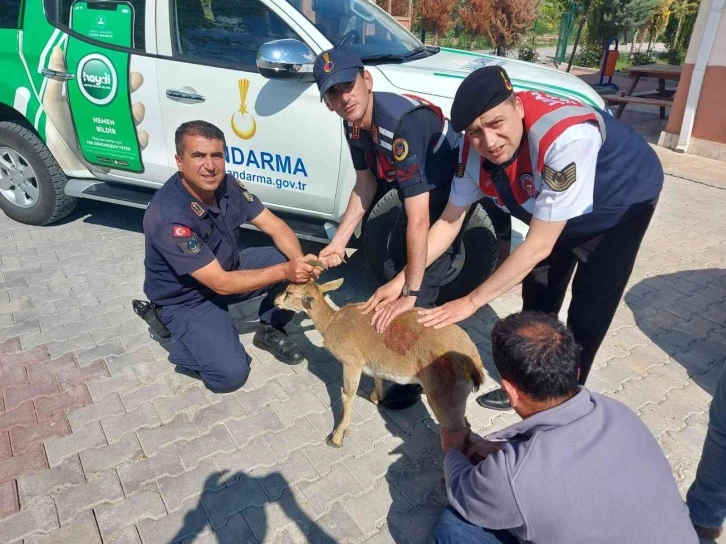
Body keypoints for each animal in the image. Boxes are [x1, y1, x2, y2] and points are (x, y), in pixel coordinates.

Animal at [276, 278, 486, 448]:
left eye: (289, 292)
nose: (275, 300)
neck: (331, 323)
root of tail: (474, 361)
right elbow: (376, 377)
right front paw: (377, 397)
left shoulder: (351, 362)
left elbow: (347, 396)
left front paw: (336, 438)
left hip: (445, 398)